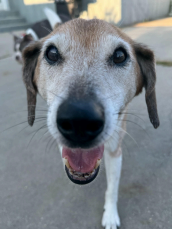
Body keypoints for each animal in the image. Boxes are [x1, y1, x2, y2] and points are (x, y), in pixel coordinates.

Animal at [21, 18, 160, 228]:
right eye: (52, 53)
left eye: (120, 55)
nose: (79, 121)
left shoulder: (114, 151)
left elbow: (112, 188)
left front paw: (110, 214)